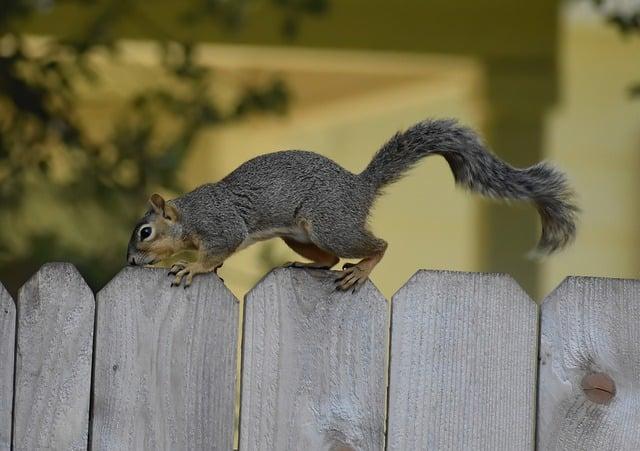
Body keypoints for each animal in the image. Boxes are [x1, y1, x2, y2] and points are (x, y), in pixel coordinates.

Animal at [126, 118, 580, 292]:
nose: (130, 261)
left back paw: (361, 270)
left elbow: (216, 250)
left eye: (145, 232)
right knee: (326, 259)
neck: (187, 215)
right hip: (302, 235)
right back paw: (307, 266)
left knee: (376, 245)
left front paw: (192, 267)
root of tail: (359, 187)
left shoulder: (220, 225)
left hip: (330, 224)